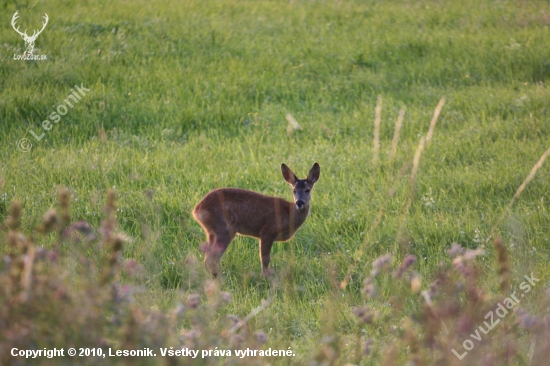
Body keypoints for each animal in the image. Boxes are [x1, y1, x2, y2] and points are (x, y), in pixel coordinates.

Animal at [194, 162, 324, 276]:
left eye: (307, 190)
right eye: (294, 190)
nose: (299, 202)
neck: (289, 214)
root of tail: (196, 210)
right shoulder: (267, 231)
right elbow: (265, 260)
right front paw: (265, 277)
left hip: (211, 231)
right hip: (224, 228)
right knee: (211, 259)